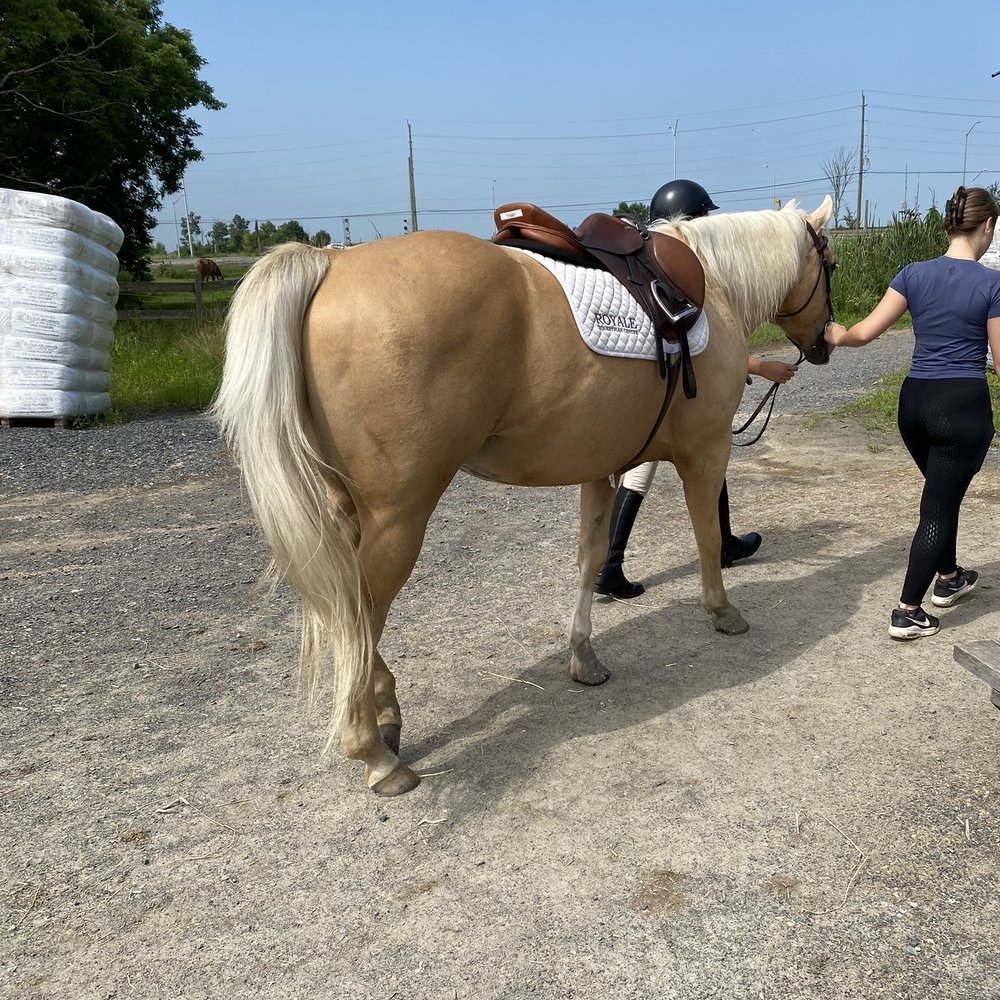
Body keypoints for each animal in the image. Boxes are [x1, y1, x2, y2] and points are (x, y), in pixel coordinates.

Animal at [212, 197, 835, 796]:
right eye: (828, 264)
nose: (826, 342)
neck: (712, 283)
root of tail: (331, 262)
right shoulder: (706, 450)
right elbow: (706, 531)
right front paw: (722, 609)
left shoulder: (600, 466)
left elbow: (589, 558)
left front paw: (584, 656)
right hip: (398, 518)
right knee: (359, 615)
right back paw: (375, 755)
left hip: (348, 511)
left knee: (346, 609)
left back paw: (386, 711)